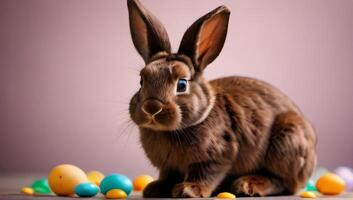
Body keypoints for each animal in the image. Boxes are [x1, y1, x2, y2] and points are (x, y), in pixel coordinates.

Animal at [126, 0, 316, 197]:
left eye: (182, 84)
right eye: (141, 81)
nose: (151, 107)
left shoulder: (218, 155)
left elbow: (206, 173)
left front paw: (189, 189)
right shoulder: (169, 167)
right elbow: (168, 176)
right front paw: (155, 188)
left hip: (287, 142)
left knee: (284, 182)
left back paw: (249, 184)